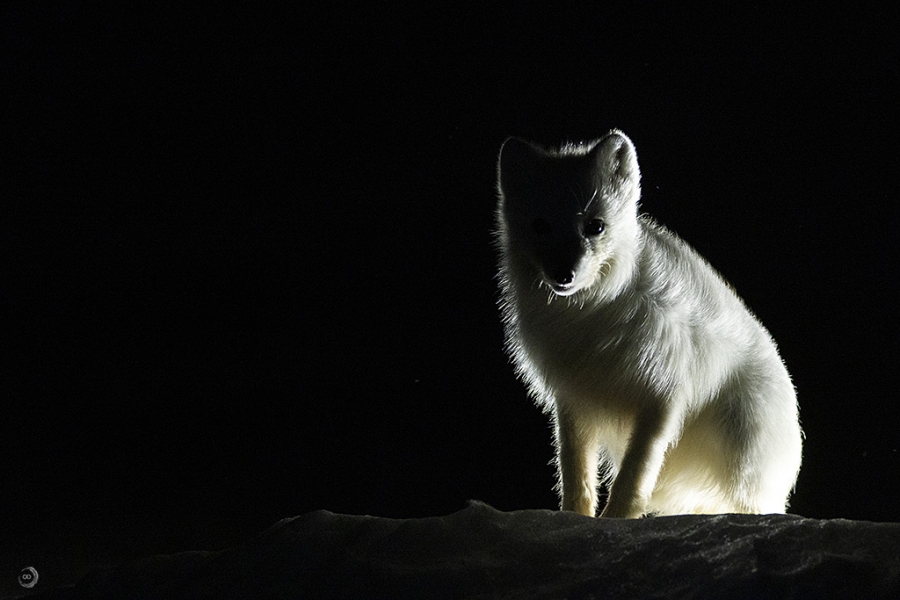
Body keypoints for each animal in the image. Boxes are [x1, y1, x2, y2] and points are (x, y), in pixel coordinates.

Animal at [495, 130, 802, 518]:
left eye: (595, 226)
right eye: (540, 226)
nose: (563, 276)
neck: (591, 312)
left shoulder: (662, 394)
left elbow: (636, 470)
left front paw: (617, 520)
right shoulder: (574, 396)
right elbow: (575, 471)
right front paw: (574, 518)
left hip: (741, 464)